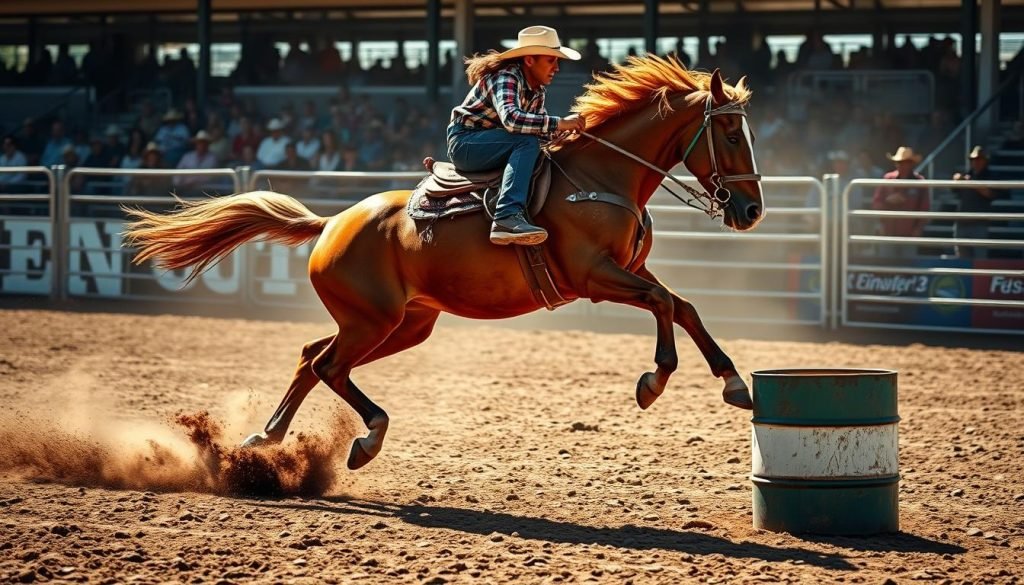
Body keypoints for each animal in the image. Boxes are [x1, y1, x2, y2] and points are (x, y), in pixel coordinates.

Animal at [123, 55, 764, 471]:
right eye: (731, 134)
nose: (752, 210)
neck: (602, 175)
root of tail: (330, 225)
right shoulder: (594, 277)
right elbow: (663, 305)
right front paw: (654, 380)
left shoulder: (631, 270)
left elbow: (683, 305)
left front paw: (735, 384)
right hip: (373, 322)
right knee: (329, 366)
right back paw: (366, 440)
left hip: (402, 323)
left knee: (313, 359)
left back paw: (268, 436)